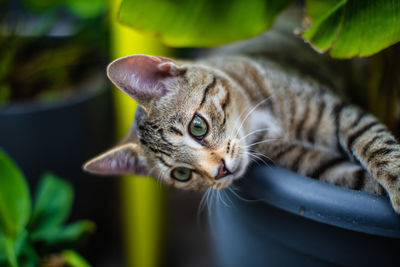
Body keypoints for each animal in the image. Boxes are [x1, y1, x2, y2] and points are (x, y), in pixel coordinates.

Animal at [83, 53, 400, 215]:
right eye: (181, 174)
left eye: (197, 126)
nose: (220, 171)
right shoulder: (310, 163)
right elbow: (356, 179)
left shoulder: (338, 113)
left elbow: (375, 144)